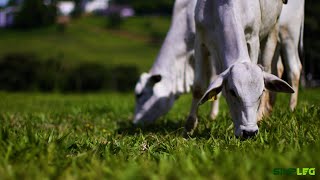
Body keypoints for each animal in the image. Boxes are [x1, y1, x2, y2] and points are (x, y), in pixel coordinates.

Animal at [185, 0, 296, 139]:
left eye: (261, 93)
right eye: (232, 92)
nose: (249, 132)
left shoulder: (253, 38)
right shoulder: (200, 40)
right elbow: (198, 88)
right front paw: (189, 127)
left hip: (274, 27)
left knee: (268, 65)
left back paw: (263, 115)